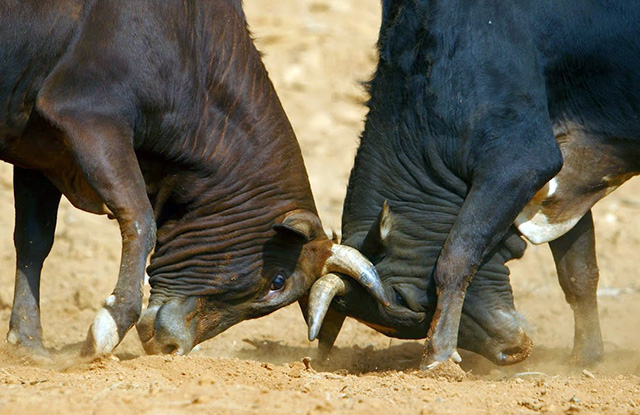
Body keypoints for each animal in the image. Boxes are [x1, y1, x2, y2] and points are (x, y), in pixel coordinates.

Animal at [0, 0, 384, 358]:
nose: (173, 345)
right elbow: (140, 218)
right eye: (278, 282)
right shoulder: (87, 115)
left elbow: (34, 241)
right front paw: (108, 327)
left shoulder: (40, 152)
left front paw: (29, 343)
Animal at [306, 0, 640, 368]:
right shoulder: (565, 182)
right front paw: (585, 358)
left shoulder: (519, 161)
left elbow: (455, 257)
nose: (511, 351)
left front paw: (437, 356)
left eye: (411, 305)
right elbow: (578, 273)